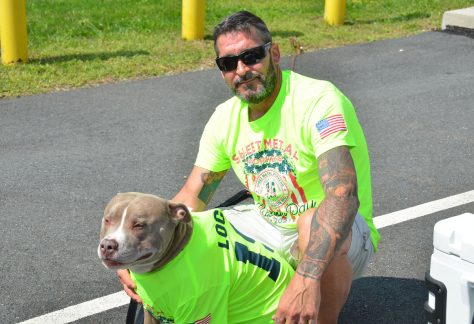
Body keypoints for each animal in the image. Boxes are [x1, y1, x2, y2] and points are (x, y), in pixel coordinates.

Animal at [98, 192, 294, 324]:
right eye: (107, 220)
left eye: (139, 225)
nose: (107, 245)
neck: (173, 257)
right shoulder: (151, 312)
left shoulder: (201, 307)